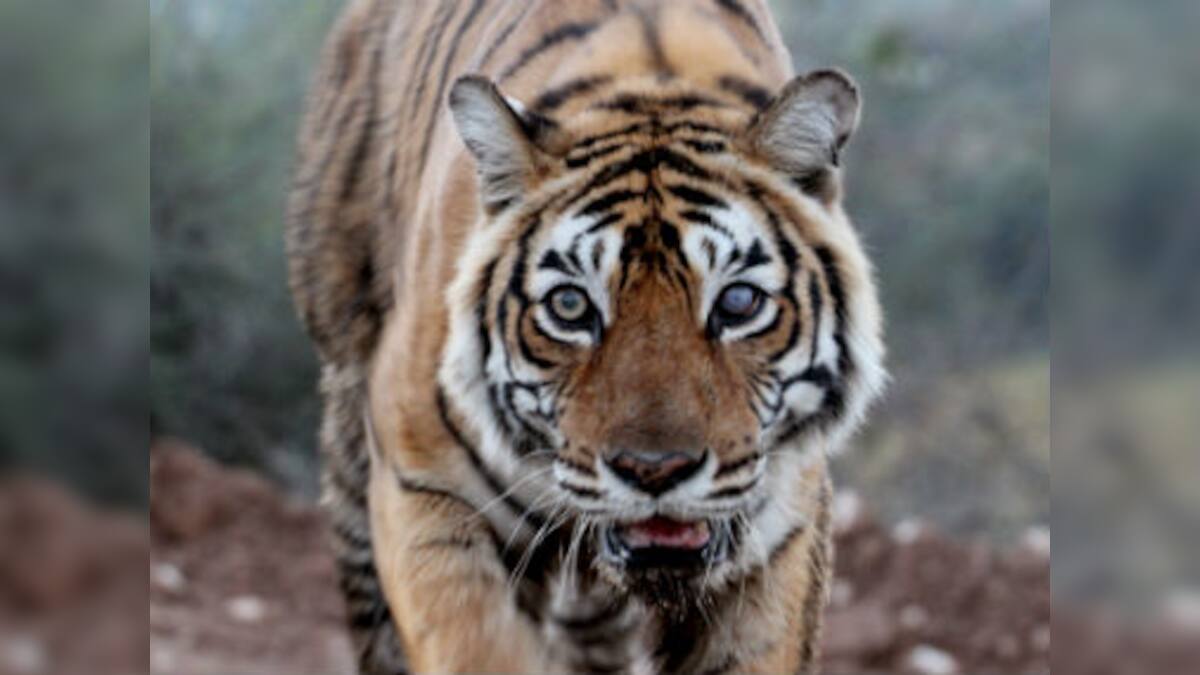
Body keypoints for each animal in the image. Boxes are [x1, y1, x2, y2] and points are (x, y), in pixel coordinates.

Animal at [286, 0, 885, 672]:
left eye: (737, 303)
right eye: (571, 306)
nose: (655, 471)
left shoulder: (781, 532)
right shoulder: (426, 492)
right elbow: (477, 647)